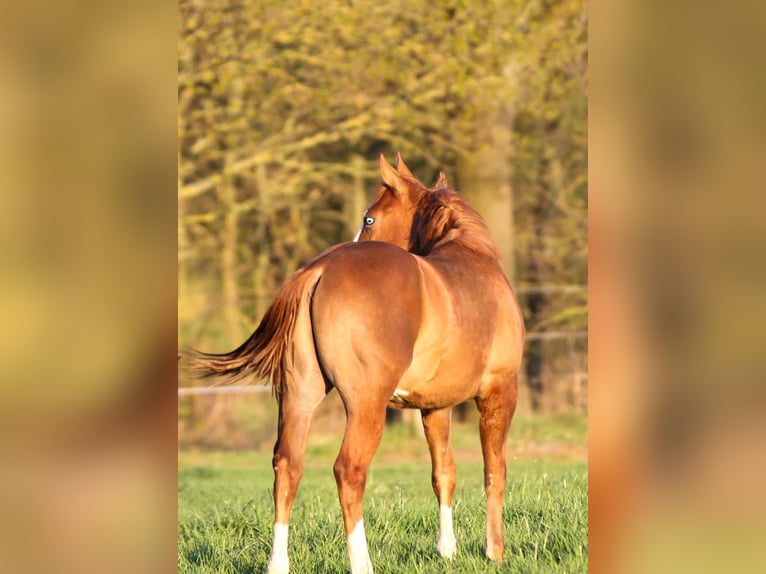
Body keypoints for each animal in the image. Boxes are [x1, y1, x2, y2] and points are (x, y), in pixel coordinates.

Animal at [186, 154, 525, 573]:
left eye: (370, 219)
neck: (472, 257)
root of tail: (320, 269)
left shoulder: (434, 405)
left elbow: (443, 472)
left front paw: (447, 549)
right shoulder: (499, 392)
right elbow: (494, 471)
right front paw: (494, 550)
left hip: (300, 396)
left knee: (287, 467)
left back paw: (278, 564)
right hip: (367, 406)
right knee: (349, 471)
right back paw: (361, 563)